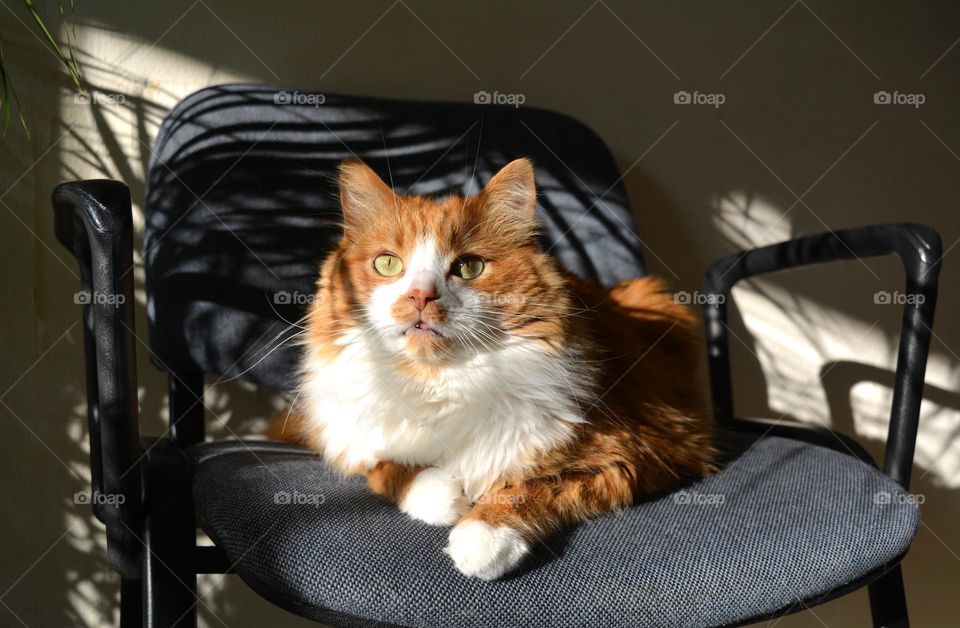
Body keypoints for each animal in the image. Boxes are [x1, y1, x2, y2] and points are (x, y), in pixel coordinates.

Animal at [274, 157, 716, 580]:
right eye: (387, 264)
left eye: (469, 267)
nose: (420, 296)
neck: (440, 382)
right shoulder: (347, 438)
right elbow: (387, 466)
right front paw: (440, 491)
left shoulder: (634, 456)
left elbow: (531, 488)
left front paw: (481, 536)